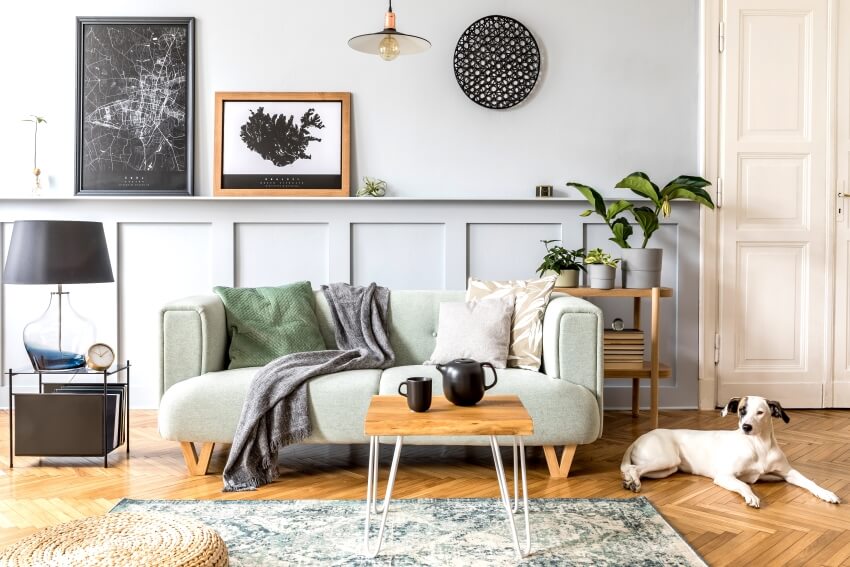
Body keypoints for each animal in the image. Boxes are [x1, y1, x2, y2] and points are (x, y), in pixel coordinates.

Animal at [620, 398, 840, 508]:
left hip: (667, 469)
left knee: (635, 469)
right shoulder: (724, 476)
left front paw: (826, 493)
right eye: (742, 410)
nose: (746, 427)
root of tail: (640, 437)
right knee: (632, 468)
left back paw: (632, 481)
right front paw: (751, 497)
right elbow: (744, 484)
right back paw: (633, 482)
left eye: (760, 412)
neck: (758, 446)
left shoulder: (787, 473)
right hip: (667, 459)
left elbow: (810, 482)